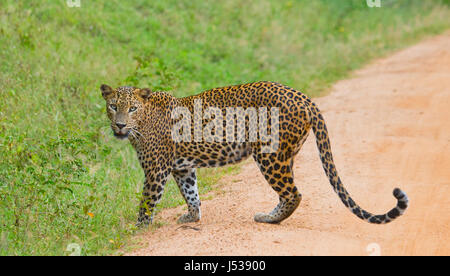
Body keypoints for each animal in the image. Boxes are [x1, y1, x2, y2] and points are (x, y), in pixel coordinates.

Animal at [101, 81, 408, 226]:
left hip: (269, 155)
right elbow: (191, 194)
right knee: (289, 191)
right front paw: (192, 217)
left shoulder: (156, 170)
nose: (120, 125)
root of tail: (305, 98)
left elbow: (146, 202)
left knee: (293, 193)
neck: (142, 122)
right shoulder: (182, 167)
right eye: (113, 106)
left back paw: (268, 219)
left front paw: (138, 228)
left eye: (132, 109)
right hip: (287, 153)